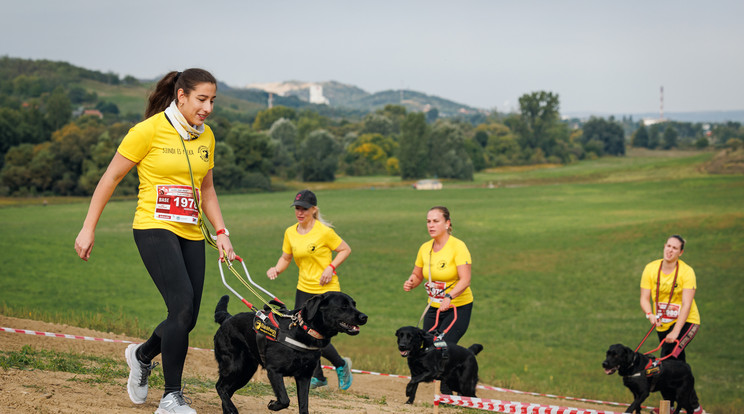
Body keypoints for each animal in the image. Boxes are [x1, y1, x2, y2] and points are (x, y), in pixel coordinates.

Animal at [214, 292, 368, 412]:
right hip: (234, 366)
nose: (364, 317)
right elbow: (284, 399)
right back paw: (232, 408)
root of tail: (227, 318)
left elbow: (304, 406)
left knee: (227, 390)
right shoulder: (274, 371)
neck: (302, 329)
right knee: (220, 387)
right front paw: (273, 405)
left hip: (246, 372)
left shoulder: (304, 376)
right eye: (344, 306)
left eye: (354, 304)